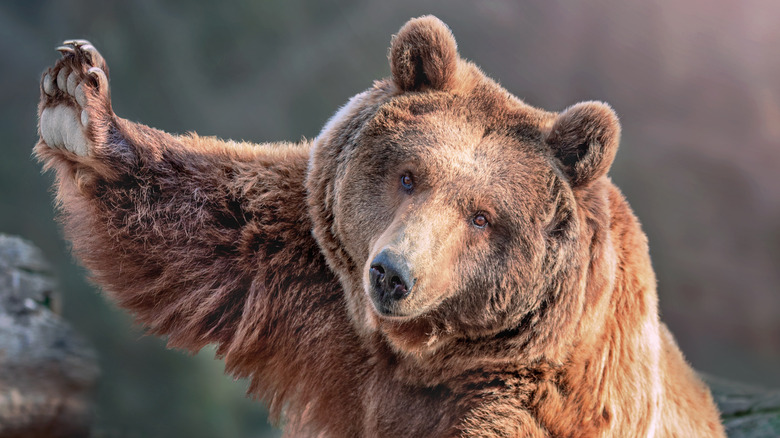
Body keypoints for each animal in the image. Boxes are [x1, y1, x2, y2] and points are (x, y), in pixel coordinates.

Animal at [35, 15, 724, 436]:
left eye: (483, 217)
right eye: (409, 176)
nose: (393, 274)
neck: (424, 356)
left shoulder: (546, 397)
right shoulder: (316, 275)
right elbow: (214, 224)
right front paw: (80, 99)